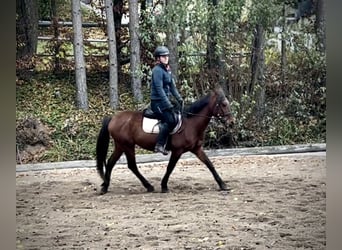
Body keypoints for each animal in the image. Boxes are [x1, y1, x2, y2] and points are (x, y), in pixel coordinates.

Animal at [95, 87, 235, 194]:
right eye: (223, 104)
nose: (231, 122)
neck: (191, 123)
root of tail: (113, 118)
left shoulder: (196, 149)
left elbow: (209, 164)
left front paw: (223, 185)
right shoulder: (177, 151)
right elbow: (170, 167)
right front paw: (164, 186)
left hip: (120, 146)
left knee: (111, 163)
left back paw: (105, 186)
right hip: (127, 145)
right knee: (131, 165)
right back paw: (148, 186)